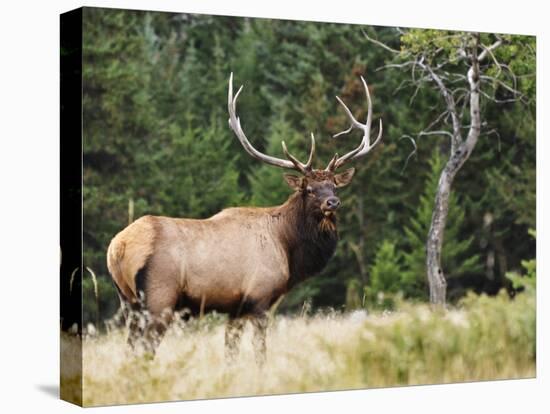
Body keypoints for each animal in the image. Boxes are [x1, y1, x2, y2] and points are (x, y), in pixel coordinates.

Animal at [108, 73, 384, 360]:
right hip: (158, 298)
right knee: (144, 350)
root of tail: (118, 248)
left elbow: (230, 352)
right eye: (309, 189)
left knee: (130, 350)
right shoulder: (260, 297)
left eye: (334, 186)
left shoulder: (235, 307)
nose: (333, 202)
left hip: (128, 302)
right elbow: (260, 352)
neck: (287, 247)